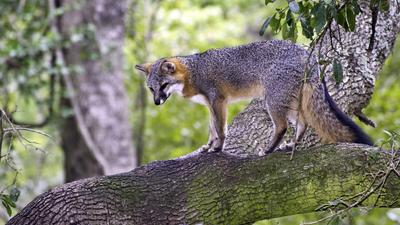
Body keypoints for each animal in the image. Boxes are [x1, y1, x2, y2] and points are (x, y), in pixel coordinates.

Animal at [136, 39, 374, 155]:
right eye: (151, 89)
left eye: (164, 86)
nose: (156, 102)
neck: (194, 71)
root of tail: (308, 54)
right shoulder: (210, 104)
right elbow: (212, 128)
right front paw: (208, 145)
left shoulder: (218, 100)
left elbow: (220, 129)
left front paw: (218, 148)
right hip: (289, 104)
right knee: (303, 124)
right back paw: (290, 146)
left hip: (272, 101)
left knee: (282, 127)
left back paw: (269, 149)